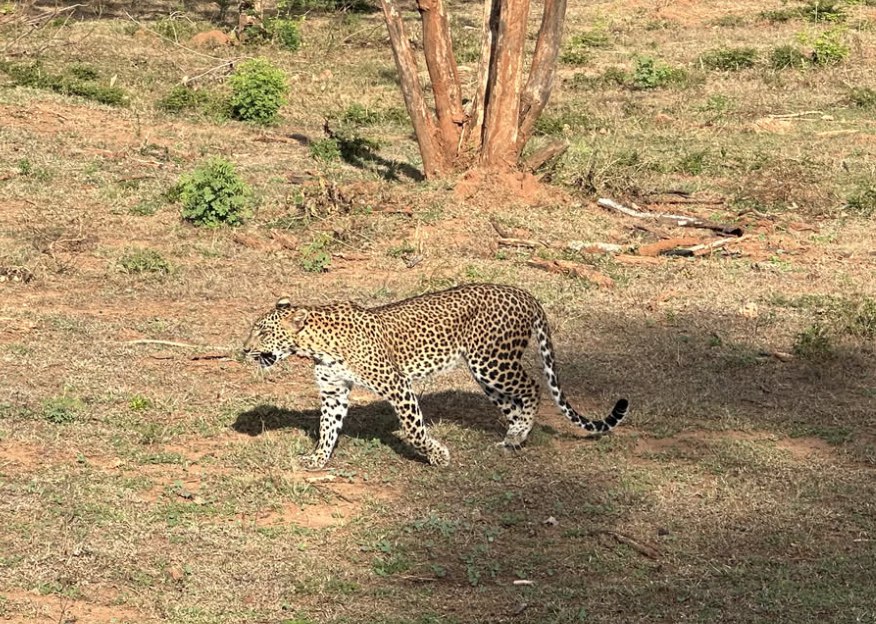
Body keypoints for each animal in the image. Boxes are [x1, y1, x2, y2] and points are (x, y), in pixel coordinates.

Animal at [242, 283, 628, 469]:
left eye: (262, 332)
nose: (244, 350)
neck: (315, 345)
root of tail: (524, 293)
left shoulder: (398, 385)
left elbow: (414, 430)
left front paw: (437, 455)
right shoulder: (333, 392)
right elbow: (327, 429)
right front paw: (318, 460)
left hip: (491, 361)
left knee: (533, 387)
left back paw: (519, 435)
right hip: (486, 372)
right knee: (513, 402)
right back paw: (510, 438)